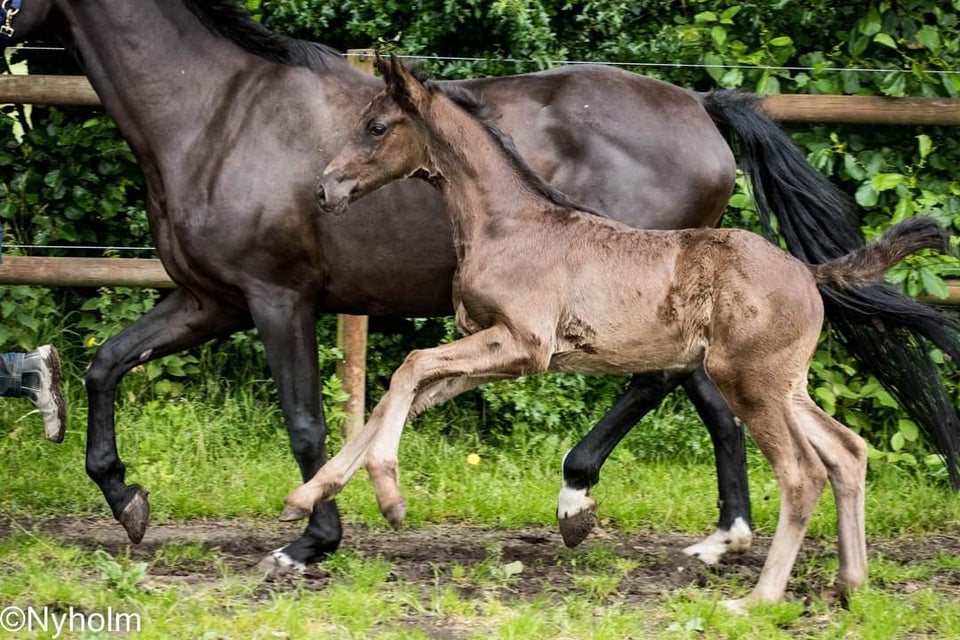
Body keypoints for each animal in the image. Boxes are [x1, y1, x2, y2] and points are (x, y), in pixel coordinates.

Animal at [288, 56, 948, 608]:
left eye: (377, 127)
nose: (326, 188)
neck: (508, 223)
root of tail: (808, 272)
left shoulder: (525, 345)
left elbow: (412, 365)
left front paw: (390, 498)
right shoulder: (493, 352)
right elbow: (397, 395)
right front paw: (307, 497)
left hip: (749, 382)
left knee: (801, 473)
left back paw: (756, 599)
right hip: (785, 384)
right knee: (847, 451)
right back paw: (848, 583)